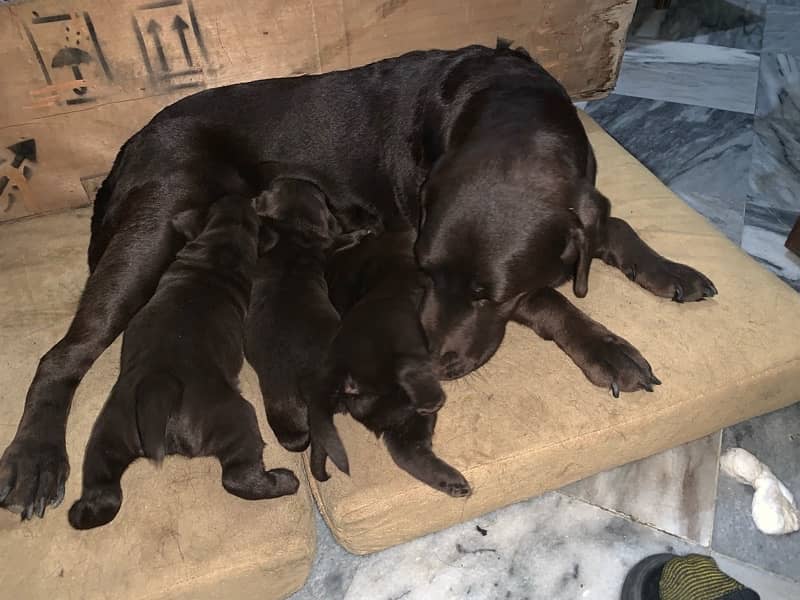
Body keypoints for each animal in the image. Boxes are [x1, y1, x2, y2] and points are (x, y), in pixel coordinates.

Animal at [67, 196, 298, 528]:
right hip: (235, 418)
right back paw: (284, 480)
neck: (220, 244)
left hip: (110, 432)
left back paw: (81, 512)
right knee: (238, 475)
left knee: (103, 488)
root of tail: (161, 387)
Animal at [306, 229, 468, 496]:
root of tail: (336, 368)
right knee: (406, 367)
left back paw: (453, 483)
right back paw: (432, 399)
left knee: (407, 452)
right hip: (397, 337)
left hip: (397, 415)